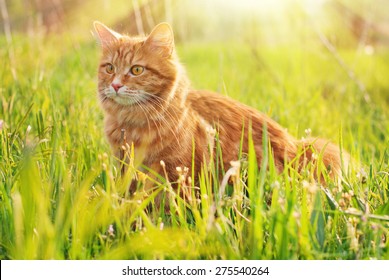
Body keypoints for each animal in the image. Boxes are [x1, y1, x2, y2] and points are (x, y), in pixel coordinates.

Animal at [93, 21, 346, 194]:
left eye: (136, 70)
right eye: (110, 68)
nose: (115, 85)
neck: (131, 122)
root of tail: (297, 146)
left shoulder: (179, 170)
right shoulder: (127, 166)